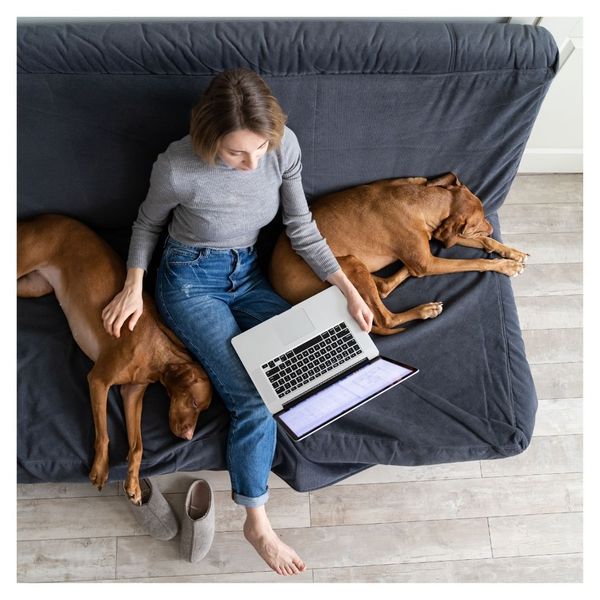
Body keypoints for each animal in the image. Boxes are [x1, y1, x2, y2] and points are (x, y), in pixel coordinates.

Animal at [17, 213, 213, 504]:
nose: (189, 437)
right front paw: (100, 469)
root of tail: (37, 218)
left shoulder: (132, 394)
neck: (154, 352)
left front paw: (133, 484)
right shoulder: (98, 380)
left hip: (32, 286)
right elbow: (104, 434)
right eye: (193, 402)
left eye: (202, 409)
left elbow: (138, 447)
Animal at [270, 171, 528, 336]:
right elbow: (473, 262)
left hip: (359, 267)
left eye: (484, 214)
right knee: (386, 318)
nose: (493, 227)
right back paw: (424, 310)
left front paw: (510, 252)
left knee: (385, 287)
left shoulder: (437, 241)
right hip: (348, 265)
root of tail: (279, 289)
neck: (421, 200)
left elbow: (479, 242)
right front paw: (505, 266)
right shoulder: (428, 261)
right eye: (478, 221)